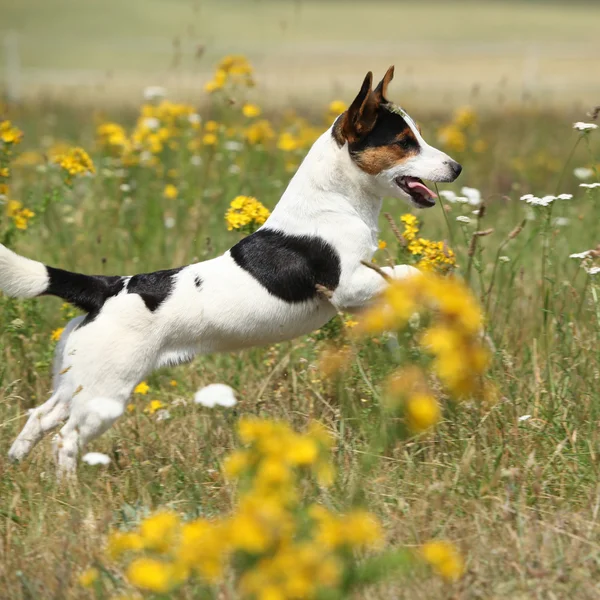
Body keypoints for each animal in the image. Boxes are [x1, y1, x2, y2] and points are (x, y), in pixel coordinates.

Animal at [0, 68, 462, 474]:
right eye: (404, 142)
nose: (456, 168)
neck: (335, 203)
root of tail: (106, 288)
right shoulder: (346, 284)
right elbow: (408, 272)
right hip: (105, 392)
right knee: (67, 439)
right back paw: (69, 492)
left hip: (78, 380)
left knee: (41, 416)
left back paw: (18, 464)